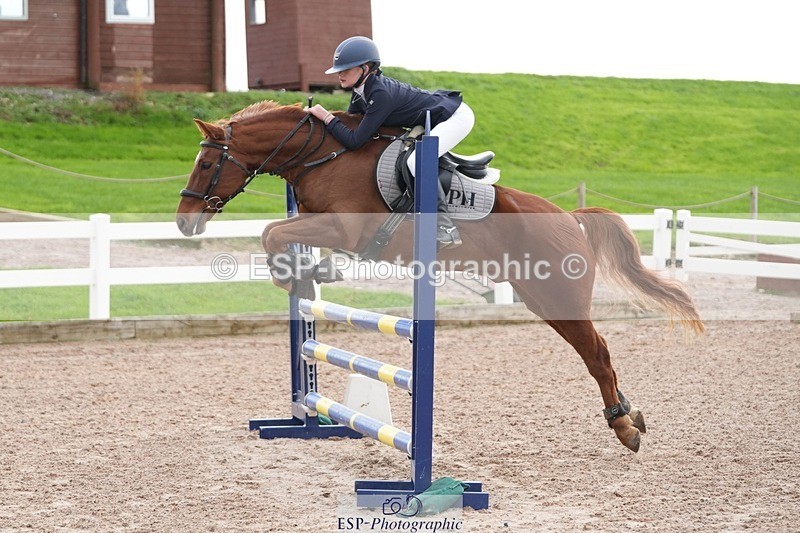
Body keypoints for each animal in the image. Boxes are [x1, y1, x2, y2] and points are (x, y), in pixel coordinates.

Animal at [176, 100, 704, 453]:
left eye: (207, 161)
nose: (184, 222)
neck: (323, 155)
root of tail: (569, 218)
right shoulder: (317, 222)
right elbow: (280, 235)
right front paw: (307, 272)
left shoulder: (343, 226)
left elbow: (271, 232)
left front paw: (295, 275)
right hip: (541, 298)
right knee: (599, 352)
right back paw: (632, 412)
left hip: (559, 299)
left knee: (597, 354)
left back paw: (624, 427)